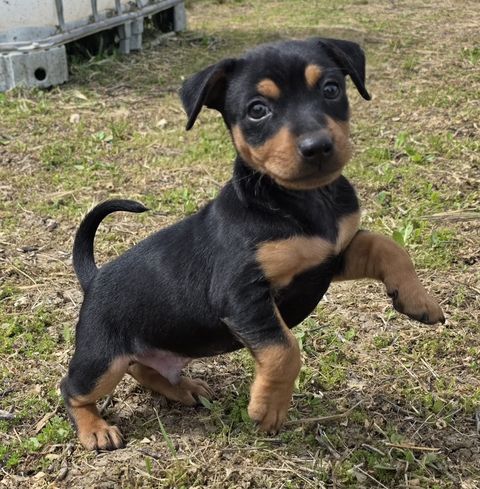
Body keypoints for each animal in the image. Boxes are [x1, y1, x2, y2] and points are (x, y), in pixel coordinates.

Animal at [61, 37, 445, 450]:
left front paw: (418, 300)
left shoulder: (331, 256)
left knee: (142, 368)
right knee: (73, 387)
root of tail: (94, 278)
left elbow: (388, 246)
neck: (299, 200)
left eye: (331, 89)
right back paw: (96, 430)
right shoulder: (241, 294)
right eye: (257, 110)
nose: (318, 147)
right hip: (102, 359)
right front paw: (268, 408)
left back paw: (184, 389)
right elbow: (283, 349)